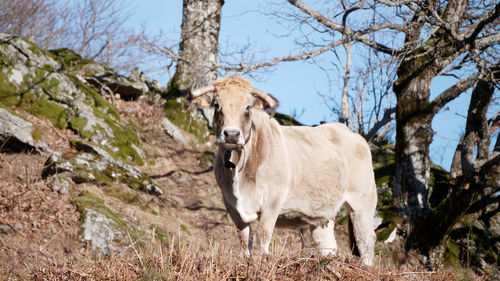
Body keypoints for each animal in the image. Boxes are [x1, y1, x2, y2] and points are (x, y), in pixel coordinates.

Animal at [189, 75, 376, 264]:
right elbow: (244, 237)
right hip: (322, 213)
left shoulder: (273, 200)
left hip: (362, 203)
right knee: (327, 243)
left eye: (248, 107)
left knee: (365, 240)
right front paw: (245, 260)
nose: (232, 135)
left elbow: (263, 235)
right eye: (217, 105)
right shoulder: (230, 203)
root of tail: (352, 134)